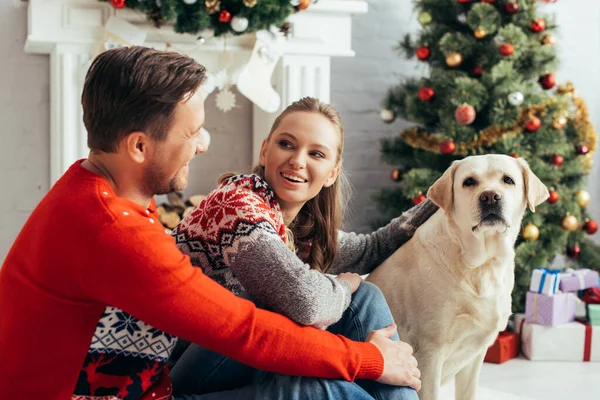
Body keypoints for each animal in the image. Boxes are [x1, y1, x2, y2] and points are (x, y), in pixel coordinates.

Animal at [366, 155, 548, 400]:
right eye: (469, 181)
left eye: (508, 180)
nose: (490, 196)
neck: (482, 265)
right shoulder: (429, 353)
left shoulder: (474, 354)